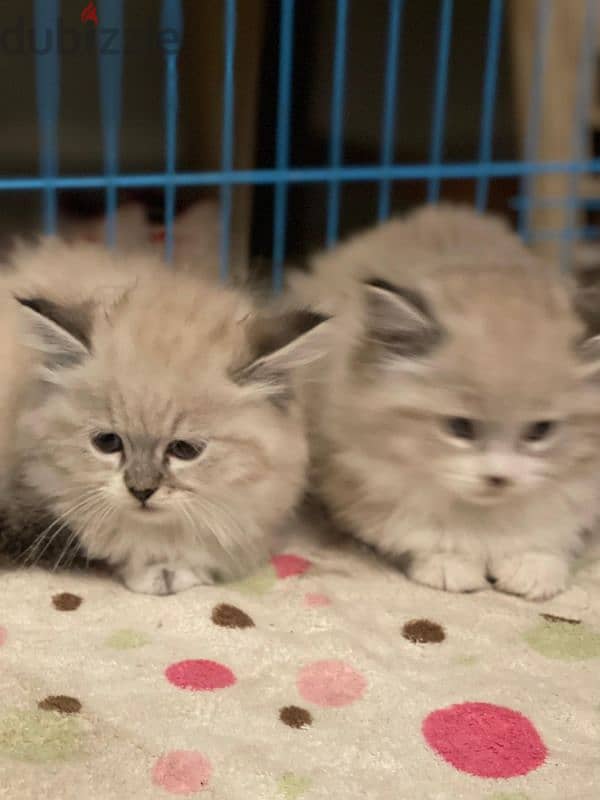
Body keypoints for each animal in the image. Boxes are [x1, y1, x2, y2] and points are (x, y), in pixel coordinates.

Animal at [292, 206, 600, 600]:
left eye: (540, 431)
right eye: (460, 427)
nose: (498, 479)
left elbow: (549, 535)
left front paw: (533, 568)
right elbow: (420, 533)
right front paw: (450, 565)